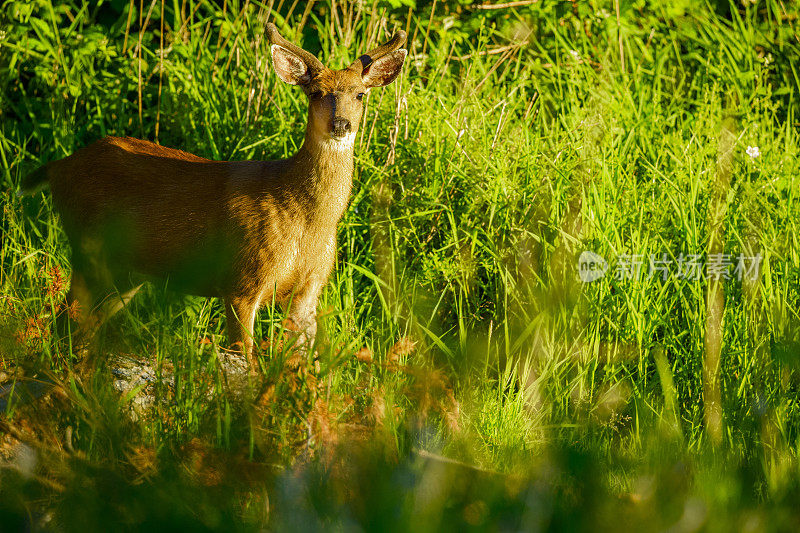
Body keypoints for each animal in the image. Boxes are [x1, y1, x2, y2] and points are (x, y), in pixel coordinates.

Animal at [20, 23, 406, 370]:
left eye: (360, 94)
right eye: (314, 93)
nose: (341, 124)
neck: (304, 219)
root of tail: (59, 166)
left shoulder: (309, 290)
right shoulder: (242, 278)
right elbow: (244, 358)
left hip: (125, 272)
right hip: (88, 246)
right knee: (66, 318)